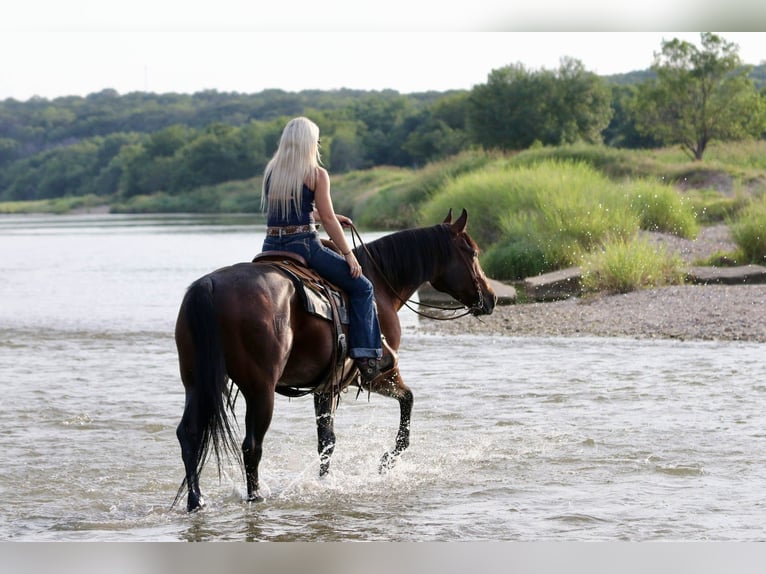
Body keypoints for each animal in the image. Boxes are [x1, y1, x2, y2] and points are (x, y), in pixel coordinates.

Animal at [172, 208, 497, 511]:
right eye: (473, 252)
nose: (491, 298)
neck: (380, 285)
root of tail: (210, 287)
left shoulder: (326, 384)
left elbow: (326, 441)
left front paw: (325, 483)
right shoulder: (376, 374)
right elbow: (408, 402)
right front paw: (386, 462)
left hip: (196, 383)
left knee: (189, 435)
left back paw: (196, 500)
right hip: (260, 390)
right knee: (252, 446)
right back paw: (255, 497)